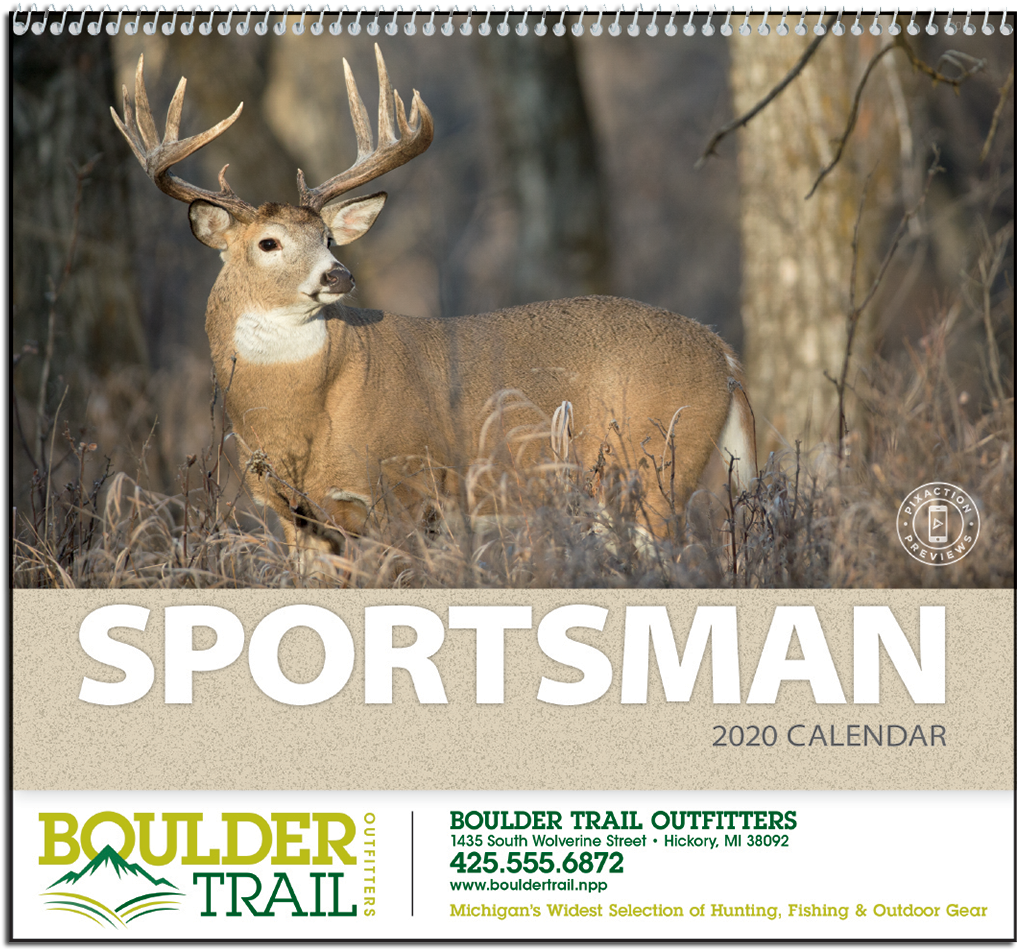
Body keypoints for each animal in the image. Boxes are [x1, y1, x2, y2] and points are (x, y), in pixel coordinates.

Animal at [111, 46, 756, 561]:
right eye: (268, 243)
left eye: (328, 238)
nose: (339, 274)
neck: (295, 415)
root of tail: (723, 353)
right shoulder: (294, 514)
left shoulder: (404, 489)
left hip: (656, 466)